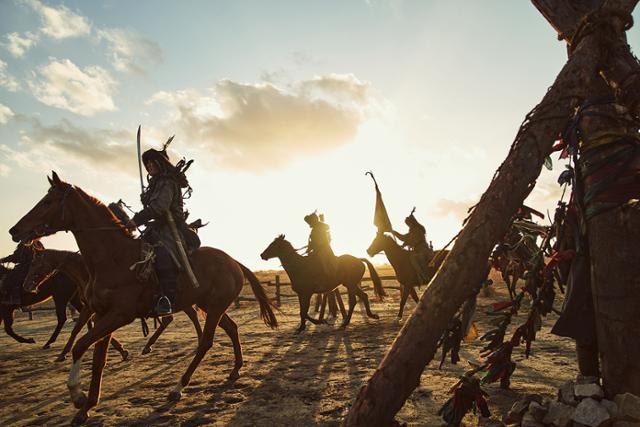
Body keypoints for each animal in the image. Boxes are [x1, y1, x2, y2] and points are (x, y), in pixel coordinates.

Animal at [8, 172, 278, 426]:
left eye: (48, 201)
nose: (14, 230)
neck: (112, 258)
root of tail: (233, 261)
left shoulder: (119, 315)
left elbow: (80, 344)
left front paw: (78, 395)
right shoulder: (102, 314)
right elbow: (97, 359)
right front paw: (87, 407)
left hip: (214, 309)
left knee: (206, 343)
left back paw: (178, 387)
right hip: (211, 307)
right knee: (231, 328)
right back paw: (235, 369)